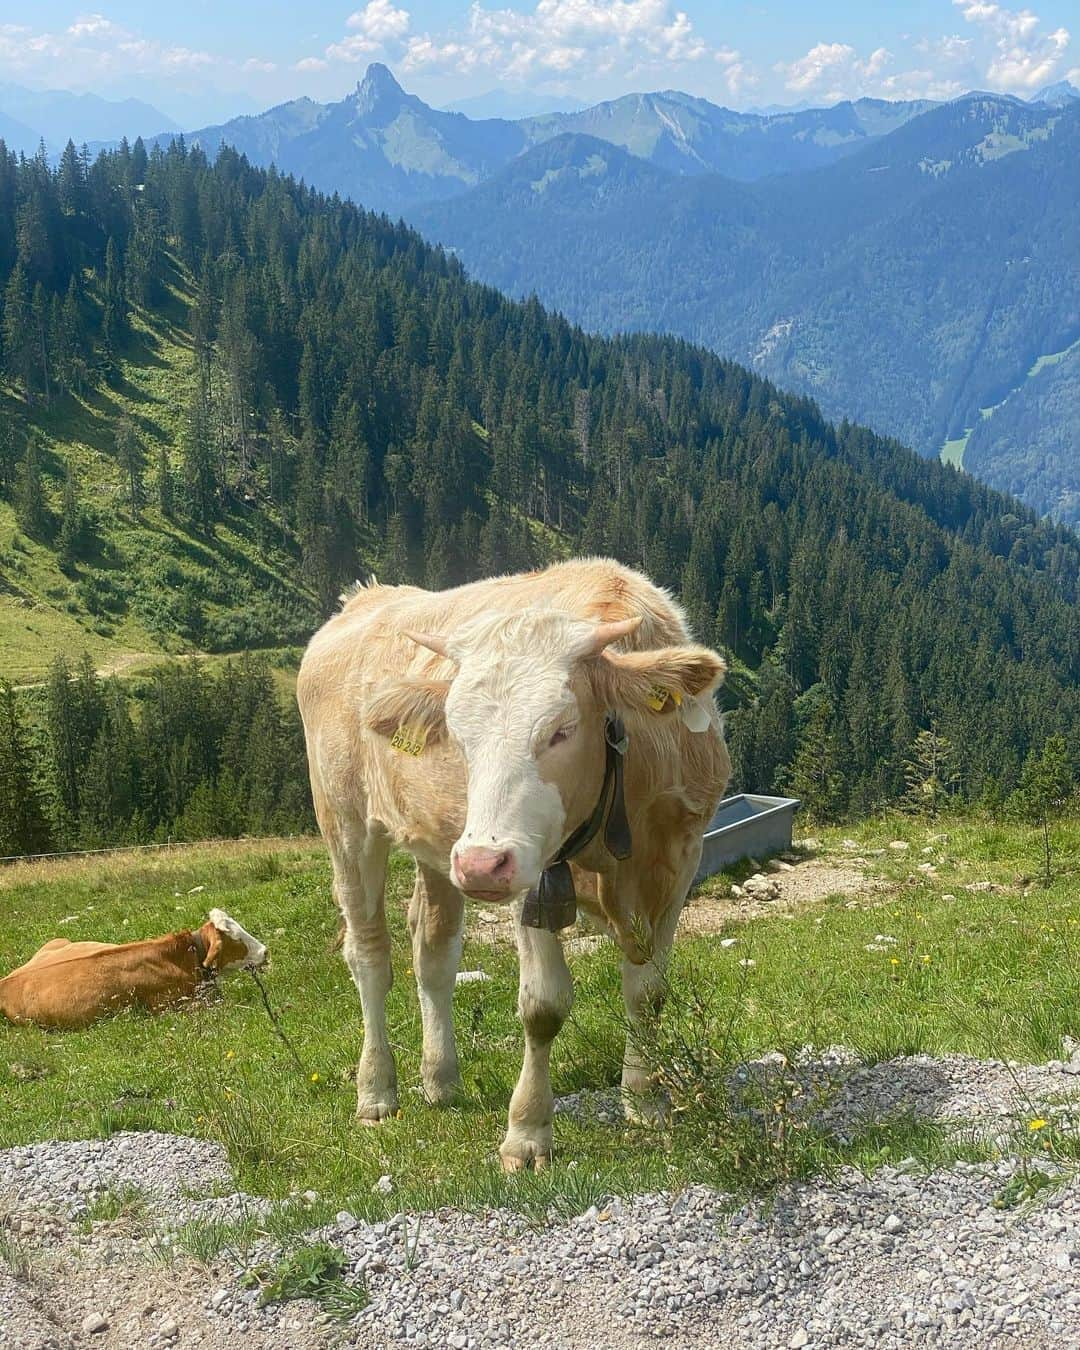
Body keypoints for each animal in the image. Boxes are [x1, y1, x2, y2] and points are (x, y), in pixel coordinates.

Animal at [299, 558, 729, 1171]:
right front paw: (527, 1133)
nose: (483, 864)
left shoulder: (681, 858)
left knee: (433, 950)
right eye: (458, 736)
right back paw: (377, 1091)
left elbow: (648, 993)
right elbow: (543, 1006)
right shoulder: (534, 877)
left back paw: (441, 1079)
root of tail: (364, 599)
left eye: (561, 729)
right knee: (369, 955)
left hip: (442, 844)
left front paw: (645, 1101)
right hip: (347, 822)